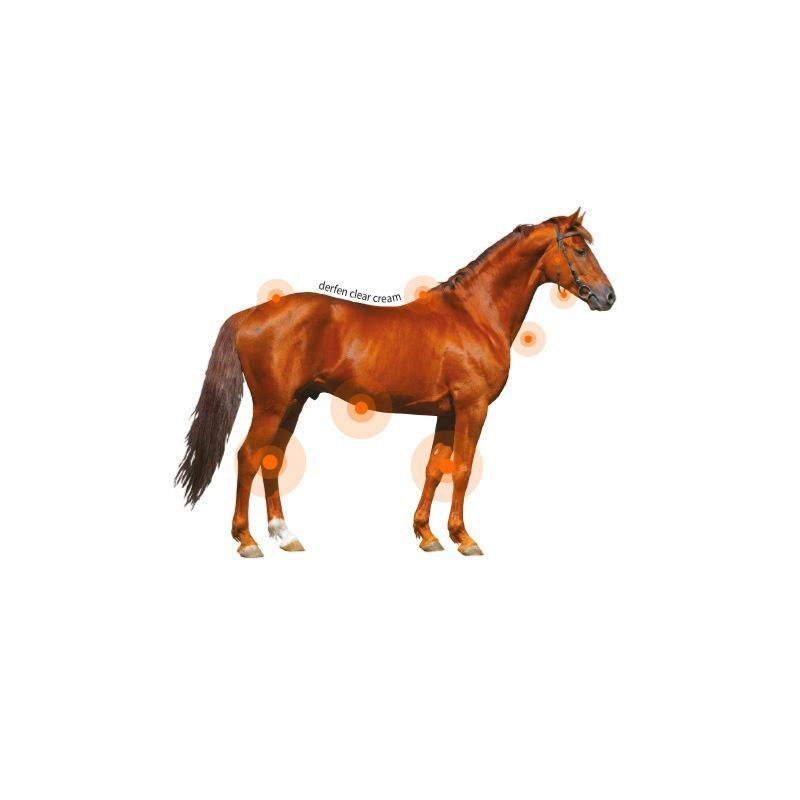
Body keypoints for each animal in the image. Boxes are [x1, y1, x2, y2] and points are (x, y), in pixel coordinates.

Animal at [176, 209, 615, 557]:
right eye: (580, 249)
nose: (608, 297)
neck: (474, 315)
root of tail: (250, 314)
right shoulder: (472, 407)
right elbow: (463, 469)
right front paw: (464, 538)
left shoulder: (447, 413)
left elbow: (435, 468)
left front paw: (427, 535)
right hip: (272, 404)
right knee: (249, 457)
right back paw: (247, 541)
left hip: (293, 403)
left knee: (271, 460)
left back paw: (285, 536)